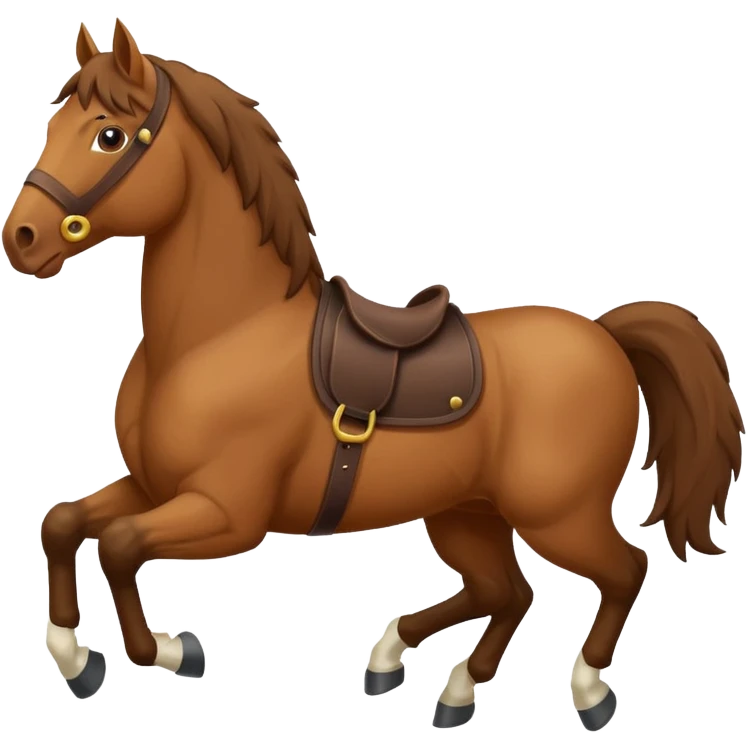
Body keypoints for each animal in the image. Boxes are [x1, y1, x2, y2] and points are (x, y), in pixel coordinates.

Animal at [2, 19, 742, 731]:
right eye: (51, 125)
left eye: (108, 135)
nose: (22, 239)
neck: (219, 337)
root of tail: (605, 335)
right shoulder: (155, 486)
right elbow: (63, 525)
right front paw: (76, 659)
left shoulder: (226, 513)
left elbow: (120, 546)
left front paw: (169, 650)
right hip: (466, 512)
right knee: (506, 591)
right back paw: (432, 678)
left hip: (557, 516)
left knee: (621, 571)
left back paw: (585, 691)